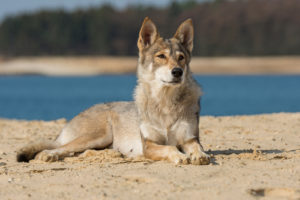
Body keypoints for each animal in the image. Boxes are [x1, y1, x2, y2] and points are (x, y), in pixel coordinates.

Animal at [15, 17, 209, 165]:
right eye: (161, 56)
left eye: (181, 58)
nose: (177, 72)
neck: (165, 102)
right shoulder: (149, 145)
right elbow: (170, 147)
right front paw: (180, 156)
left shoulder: (190, 138)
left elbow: (196, 147)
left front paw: (200, 155)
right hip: (98, 136)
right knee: (60, 148)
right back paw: (47, 155)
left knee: (77, 152)